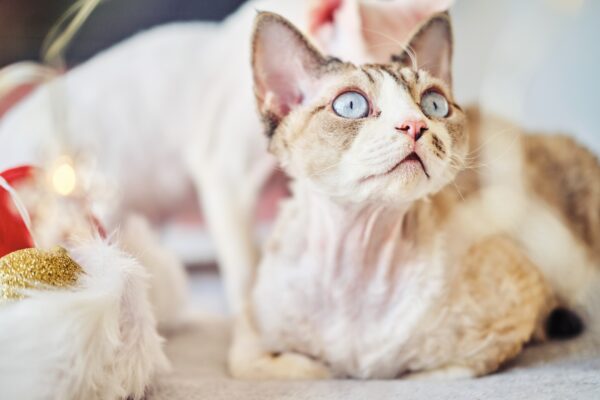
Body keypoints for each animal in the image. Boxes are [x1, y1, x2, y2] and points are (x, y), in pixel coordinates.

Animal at [229, 9, 600, 378]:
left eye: (434, 104)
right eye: (350, 105)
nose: (414, 125)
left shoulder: (508, 315)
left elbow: (427, 370)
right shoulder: (250, 334)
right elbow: (297, 366)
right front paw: (332, 366)